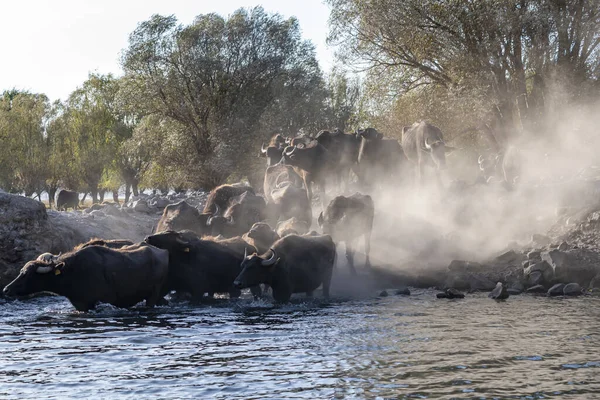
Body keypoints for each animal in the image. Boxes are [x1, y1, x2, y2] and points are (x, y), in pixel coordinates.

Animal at [4, 242, 169, 310]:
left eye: (27, 274)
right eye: (21, 272)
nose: (6, 289)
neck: (71, 273)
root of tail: (162, 252)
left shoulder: (94, 302)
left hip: (152, 296)